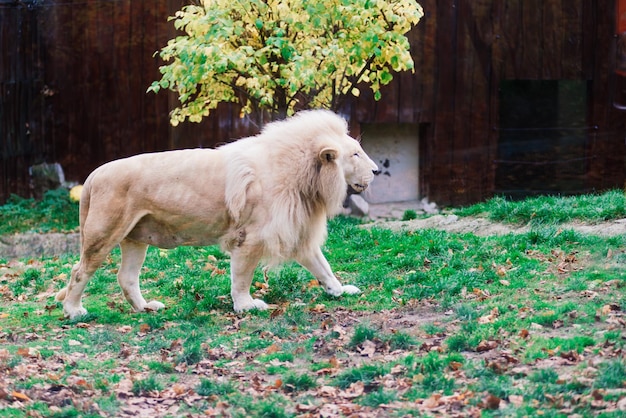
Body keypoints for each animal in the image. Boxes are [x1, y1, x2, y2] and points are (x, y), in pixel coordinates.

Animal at [54, 109, 376, 318]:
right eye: (355, 154)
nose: (375, 170)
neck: (308, 178)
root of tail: (94, 174)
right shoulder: (251, 237)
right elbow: (242, 277)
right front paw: (246, 306)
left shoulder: (297, 233)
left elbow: (323, 267)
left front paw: (339, 290)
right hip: (104, 233)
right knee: (79, 271)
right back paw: (74, 311)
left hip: (135, 238)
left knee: (126, 277)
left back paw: (145, 308)